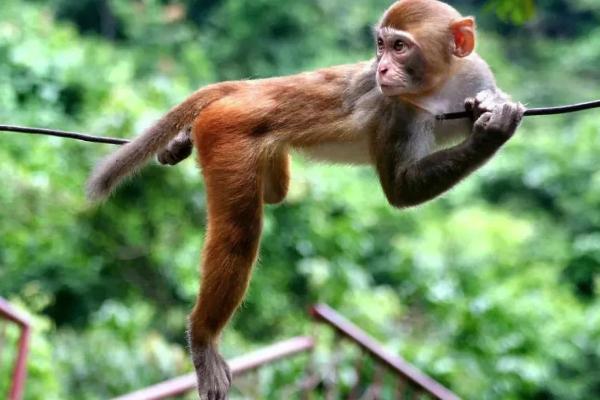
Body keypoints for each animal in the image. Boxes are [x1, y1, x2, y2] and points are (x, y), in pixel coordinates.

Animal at [86, 1, 524, 398]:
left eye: (399, 47)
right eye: (381, 46)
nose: (380, 69)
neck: (438, 87)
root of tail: (253, 88)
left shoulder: (475, 71)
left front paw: (492, 105)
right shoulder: (394, 109)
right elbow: (400, 188)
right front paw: (491, 134)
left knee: (274, 191)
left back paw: (182, 144)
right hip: (228, 130)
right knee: (239, 233)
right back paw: (203, 337)